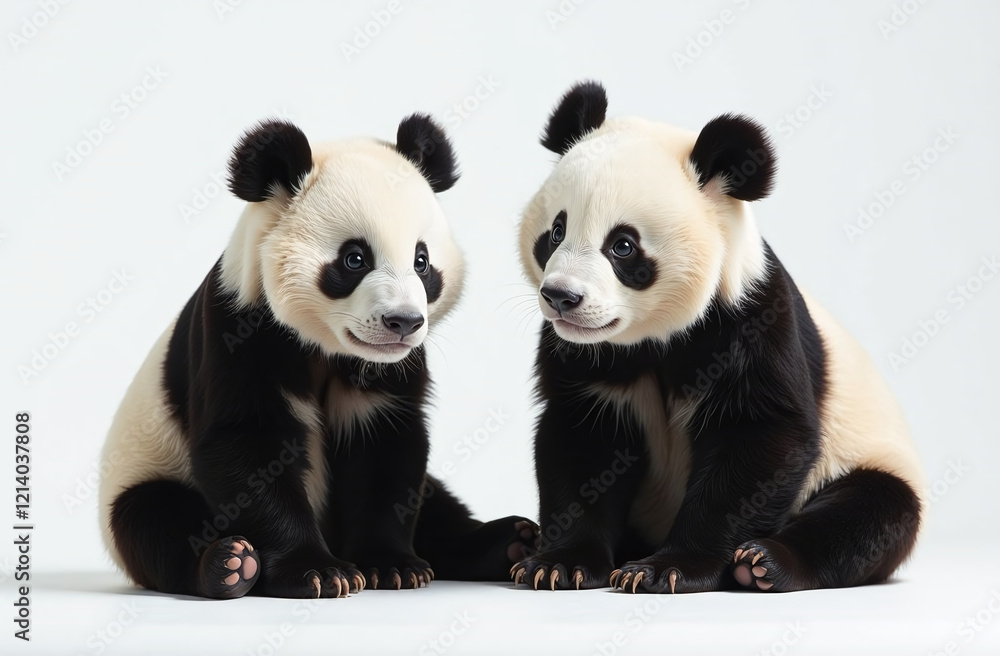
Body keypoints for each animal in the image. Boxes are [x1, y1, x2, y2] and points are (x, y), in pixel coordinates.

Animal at [99, 114, 537, 600]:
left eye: (422, 262)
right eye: (354, 259)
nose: (404, 322)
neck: (327, 347)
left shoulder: (390, 371)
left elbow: (387, 452)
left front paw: (392, 566)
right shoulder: (238, 328)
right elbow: (246, 444)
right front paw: (319, 572)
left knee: (437, 503)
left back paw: (511, 540)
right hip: (146, 470)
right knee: (154, 520)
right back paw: (228, 565)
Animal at [509, 81, 924, 594]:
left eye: (622, 245)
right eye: (556, 231)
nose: (561, 297)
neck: (655, 336)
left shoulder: (749, 321)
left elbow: (760, 439)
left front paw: (667, 568)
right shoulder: (585, 357)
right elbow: (582, 443)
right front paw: (559, 564)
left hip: (867, 455)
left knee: (871, 511)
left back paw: (764, 563)